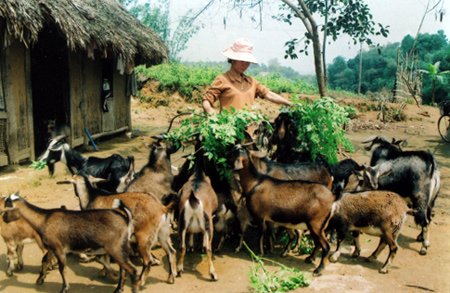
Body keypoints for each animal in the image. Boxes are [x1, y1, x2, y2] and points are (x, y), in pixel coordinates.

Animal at [230, 146, 336, 276]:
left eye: (234, 151)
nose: (230, 149)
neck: (254, 182)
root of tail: (332, 197)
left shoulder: (259, 216)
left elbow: (261, 233)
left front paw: (259, 253)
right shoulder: (269, 218)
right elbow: (270, 232)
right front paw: (269, 249)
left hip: (316, 224)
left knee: (326, 246)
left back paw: (318, 269)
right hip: (317, 226)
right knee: (316, 243)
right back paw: (307, 258)